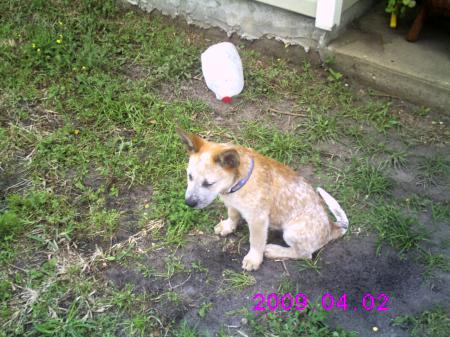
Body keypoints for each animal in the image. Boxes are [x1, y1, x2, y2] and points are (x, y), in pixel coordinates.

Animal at [177, 128, 348, 270]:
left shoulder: (258, 220)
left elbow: (256, 241)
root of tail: (333, 227)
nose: (189, 203)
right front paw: (228, 226)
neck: (238, 183)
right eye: (189, 176)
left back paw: (274, 250)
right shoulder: (233, 204)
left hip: (292, 232)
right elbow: (233, 216)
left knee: (305, 254)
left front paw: (253, 259)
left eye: (209, 183)